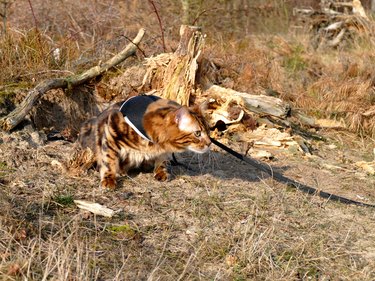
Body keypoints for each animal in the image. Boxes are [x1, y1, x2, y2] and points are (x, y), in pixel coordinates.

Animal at [77, 94, 212, 188]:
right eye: (198, 133)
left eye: (208, 131)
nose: (210, 143)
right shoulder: (111, 132)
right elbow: (108, 161)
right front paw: (109, 179)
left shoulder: (163, 151)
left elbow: (162, 160)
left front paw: (160, 172)